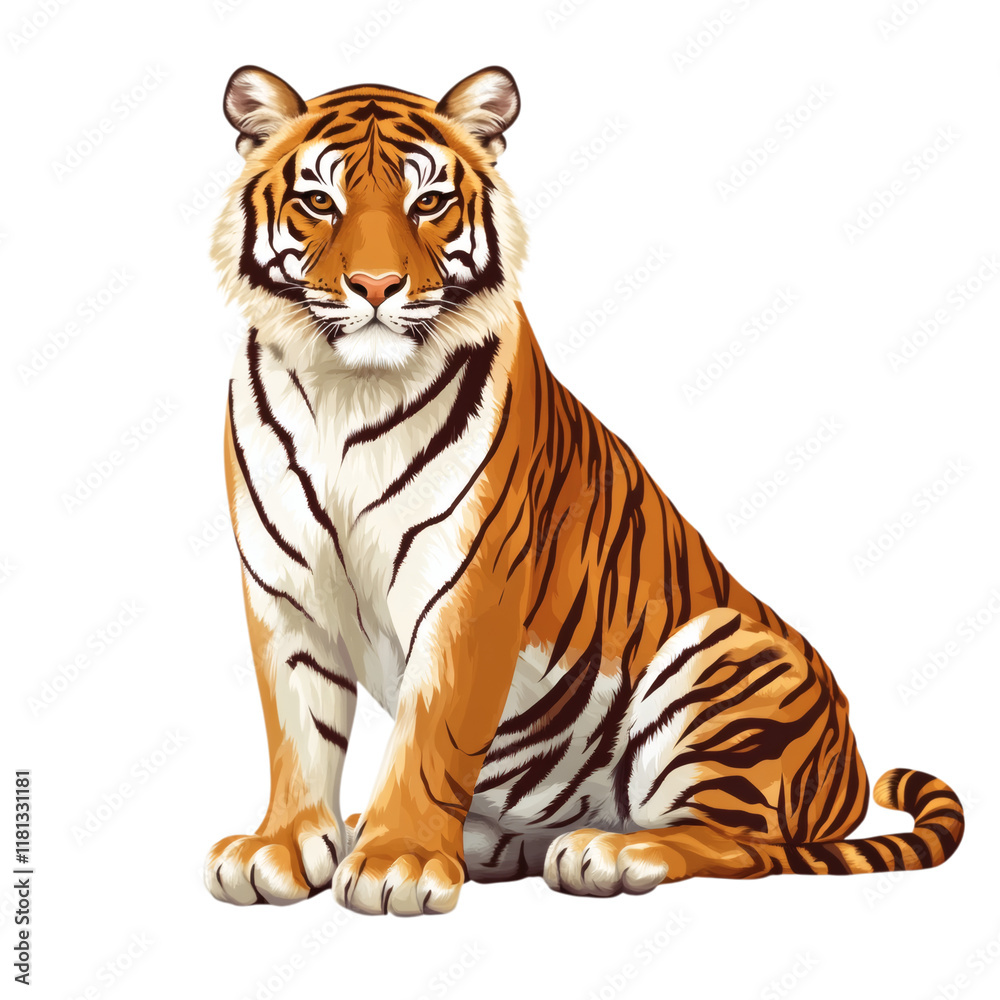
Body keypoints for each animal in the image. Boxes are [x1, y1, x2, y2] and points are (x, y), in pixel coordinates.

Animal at [204, 64, 964, 916]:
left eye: (427, 203)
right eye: (319, 201)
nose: (375, 285)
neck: (349, 390)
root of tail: (852, 775)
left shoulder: (468, 588)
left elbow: (431, 732)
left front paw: (398, 860)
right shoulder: (286, 587)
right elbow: (298, 730)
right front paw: (282, 847)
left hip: (720, 657)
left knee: (741, 845)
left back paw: (610, 852)